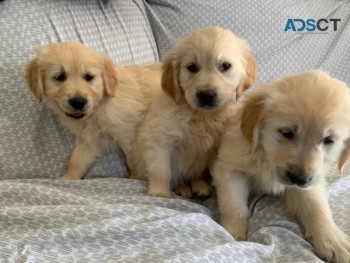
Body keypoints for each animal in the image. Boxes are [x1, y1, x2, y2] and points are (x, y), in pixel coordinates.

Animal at [26, 42, 161, 180]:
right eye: (60, 77)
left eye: (89, 77)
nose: (78, 102)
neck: (98, 109)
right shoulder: (87, 139)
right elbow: (76, 160)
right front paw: (68, 178)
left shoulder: (130, 136)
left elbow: (135, 162)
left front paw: (136, 178)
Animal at [130, 27, 258, 199]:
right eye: (191, 67)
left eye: (225, 66)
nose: (206, 95)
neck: (201, 115)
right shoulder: (159, 139)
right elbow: (161, 170)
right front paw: (160, 193)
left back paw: (199, 185)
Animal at [212, 70, 350, 263]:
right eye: (287, 133)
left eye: (328, 140)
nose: (299, 179)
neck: (266, 156)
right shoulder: (229, 169)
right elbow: (234, 205)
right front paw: (233, 235)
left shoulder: (312, 181)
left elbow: (317, 208)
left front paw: (334, 241)